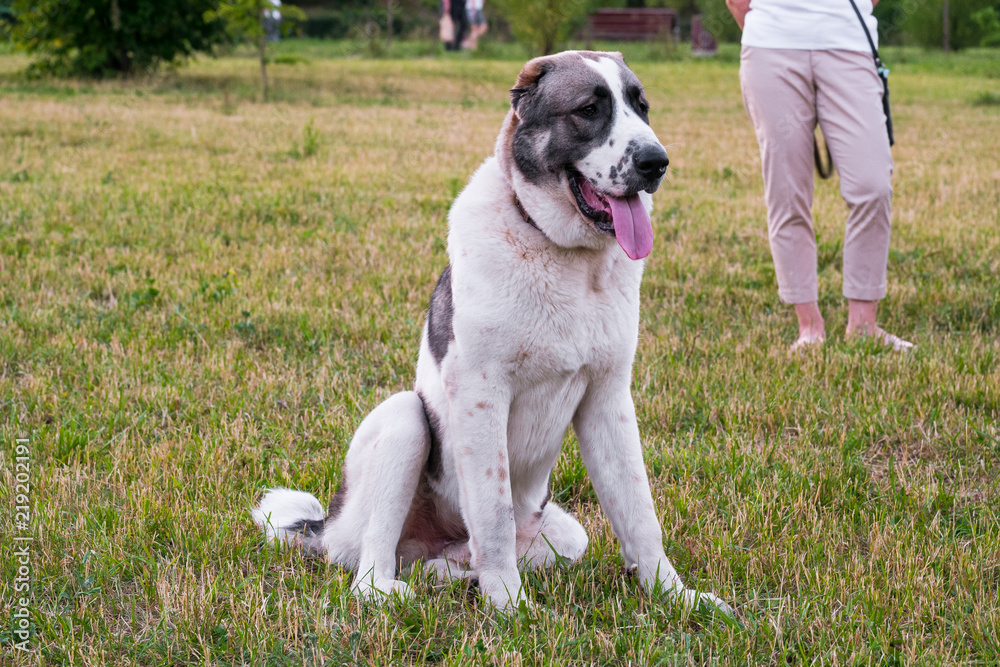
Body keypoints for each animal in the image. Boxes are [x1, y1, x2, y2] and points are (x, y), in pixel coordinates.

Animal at [254, 52, 732, 616]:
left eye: (642, 106)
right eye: (588, 109)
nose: (657, 162)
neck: (561, 253)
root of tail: (324, 526)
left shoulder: (608, 398)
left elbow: (639, 511)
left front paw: (675, 595)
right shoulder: (482, 396)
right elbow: (494, 510)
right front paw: (509, 606)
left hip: (563, 534)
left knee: (464, 556)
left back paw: (453, 573)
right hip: (402, 422)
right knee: (375, 562)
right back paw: (399, 587)